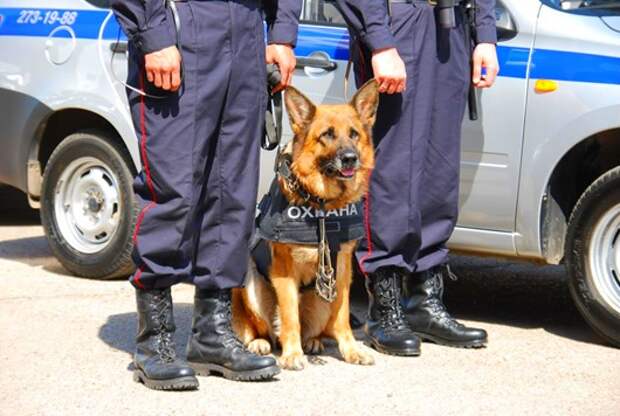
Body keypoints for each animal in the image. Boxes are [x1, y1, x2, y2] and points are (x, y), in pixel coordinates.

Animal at [231, 79, 378, 368]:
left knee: (317, 326)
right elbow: (290, 316)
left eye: (354, 134)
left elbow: (343, 315)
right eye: (327, 135)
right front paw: (292, 354)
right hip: (249, 284)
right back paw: (260, 343)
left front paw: (351, 350)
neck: (322, 205)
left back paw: (313, 341)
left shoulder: (342, 269)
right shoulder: (284, 270)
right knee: (259, 328)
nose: (350, 158)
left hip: (321, 298)